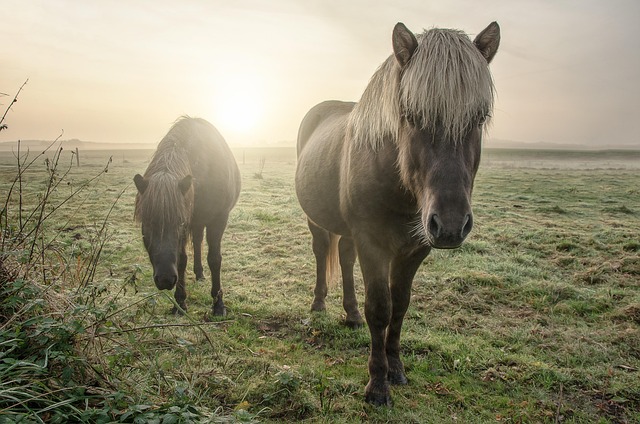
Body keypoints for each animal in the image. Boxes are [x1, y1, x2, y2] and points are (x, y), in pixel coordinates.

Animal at [134, 117, 240, 317]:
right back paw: (198, 273)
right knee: (197, 243)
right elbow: (182, 260)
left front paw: (218, 304)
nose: (165, 279)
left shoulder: (218, 220)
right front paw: (180, 302)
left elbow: (215, 259)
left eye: (180, 222)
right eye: (147, 224)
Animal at [295, 22, 500, 405]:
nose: (451, 224)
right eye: (412, 116)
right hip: (318, 221)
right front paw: (377, 384)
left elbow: (400, 306)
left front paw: (396, 369)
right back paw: (319, 304)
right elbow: (380, 309)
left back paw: (351, 314)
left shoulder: (415, 249)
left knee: (344, 256)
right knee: (322, 252)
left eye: (480, 118)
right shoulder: (373, 244)